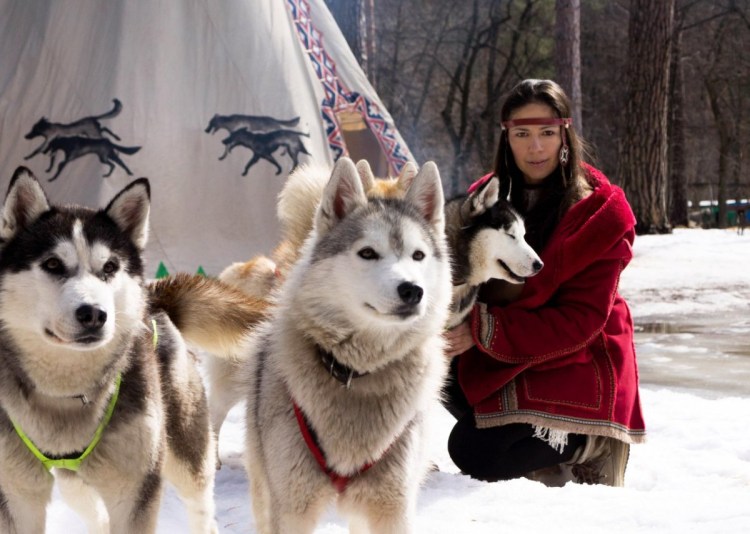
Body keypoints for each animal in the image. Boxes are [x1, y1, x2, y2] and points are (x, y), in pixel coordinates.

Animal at [0, 167, 261, 533]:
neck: (66, 394)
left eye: (110, 267)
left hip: (184, 451)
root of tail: (154, 296)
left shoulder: (135, 487)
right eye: (52, 264)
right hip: (74, 483)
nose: (93, 314)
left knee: (200, 506)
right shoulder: (17, 494)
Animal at [241, 157, 452, 533]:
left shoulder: (393, 509)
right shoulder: (292, 509)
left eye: (418, 255)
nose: (412, 290)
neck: (356, 374)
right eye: (367, 253)